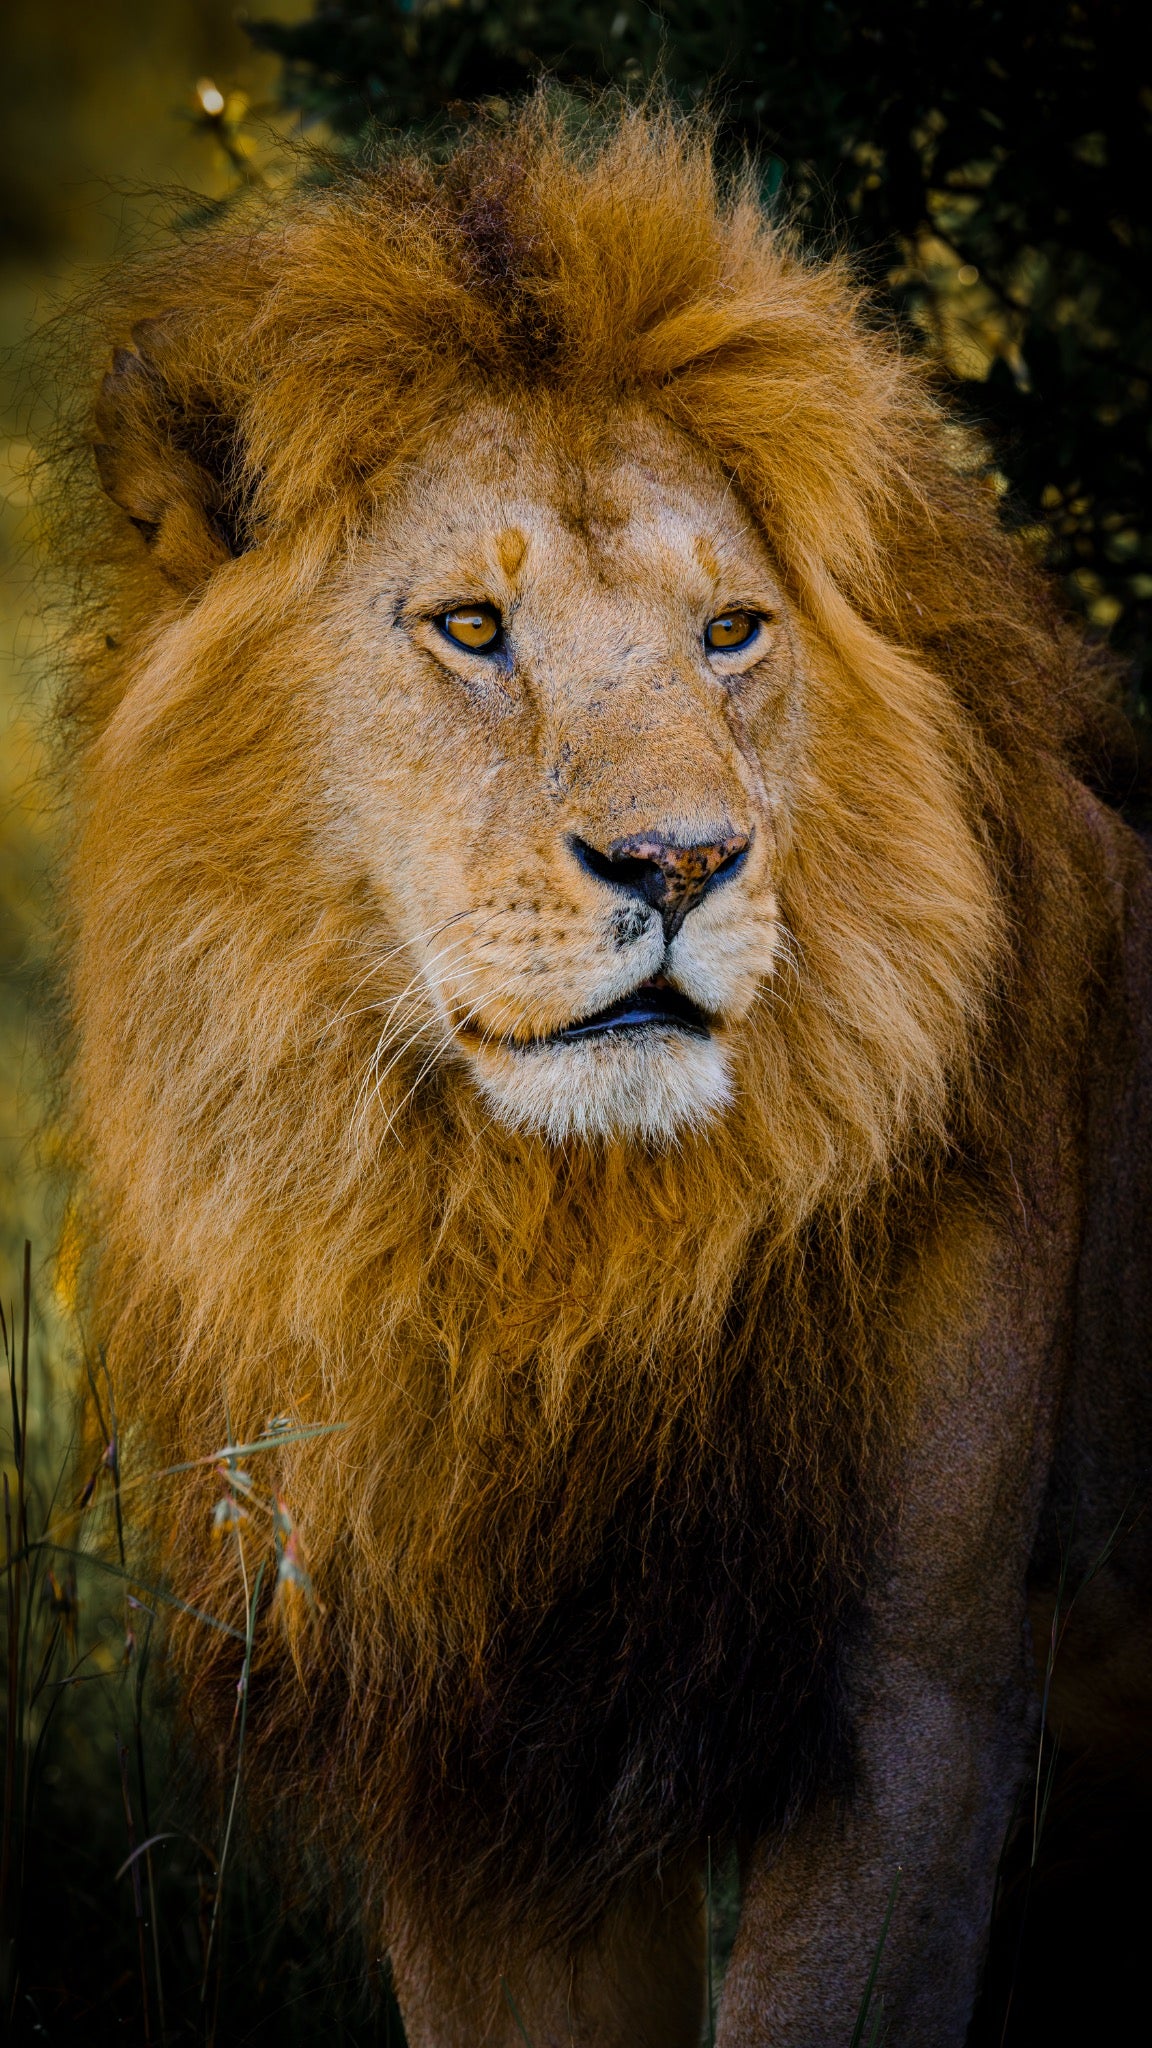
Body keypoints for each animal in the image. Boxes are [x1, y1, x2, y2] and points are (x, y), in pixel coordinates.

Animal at [56, 98, 1151, 2046]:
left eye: (730, 633)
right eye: (472, 629)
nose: (679, 862)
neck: (550, 1255)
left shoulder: (918, 1708)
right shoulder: (477, 1752)